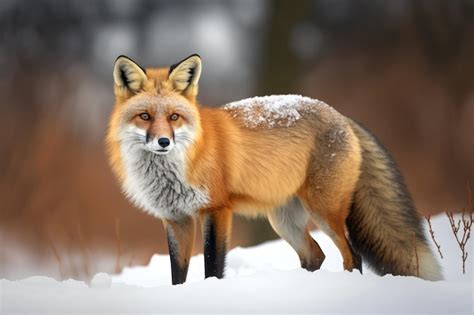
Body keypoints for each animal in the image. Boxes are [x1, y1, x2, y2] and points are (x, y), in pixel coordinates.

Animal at [105, 53, 442, 284]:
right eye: (145, 116)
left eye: (174, 117)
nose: (163, 142)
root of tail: (340, 115)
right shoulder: (176, 219)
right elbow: (178, 275)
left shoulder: (217, 209)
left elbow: (213, 265)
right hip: (283, 220)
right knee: (315, 255)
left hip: (325, 211)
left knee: (352, 256)